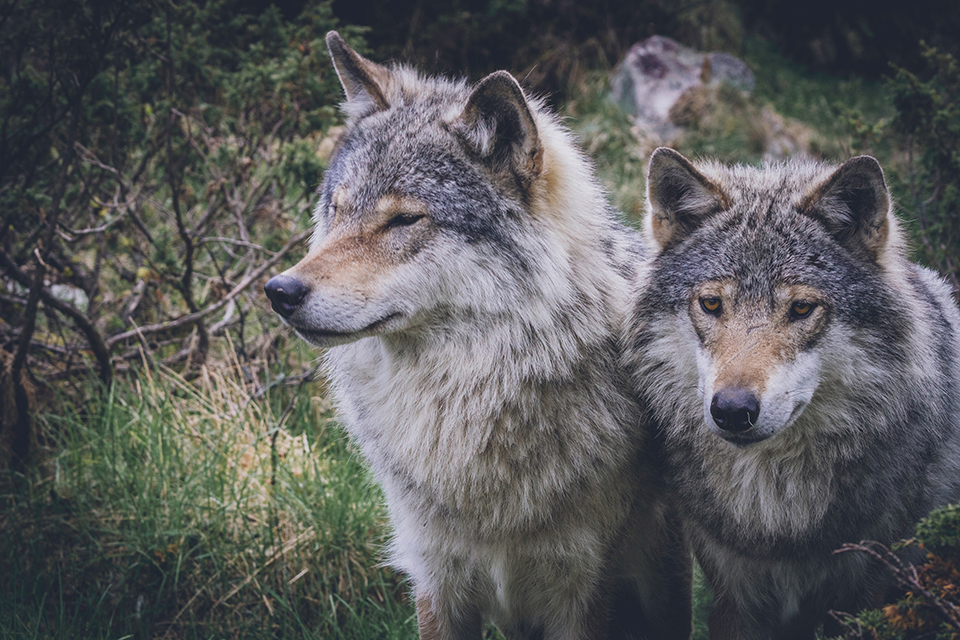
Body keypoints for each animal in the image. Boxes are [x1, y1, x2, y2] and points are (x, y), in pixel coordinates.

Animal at [625, 146, 960, 639]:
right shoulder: (734, 593)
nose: (732, 410)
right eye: (711, 304)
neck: (778, 514)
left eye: (801, 308)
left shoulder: (870, 588)